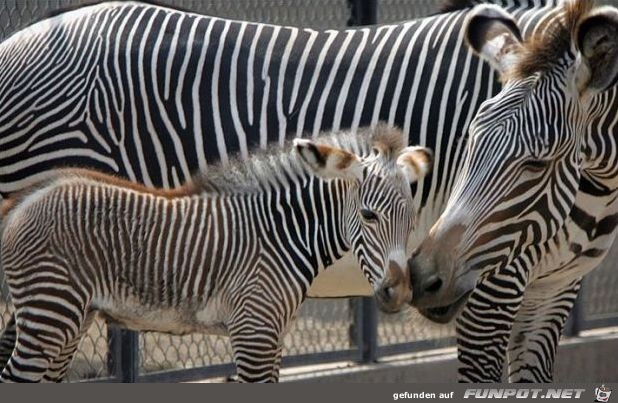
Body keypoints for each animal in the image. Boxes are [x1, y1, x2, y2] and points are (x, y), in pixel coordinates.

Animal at [0, 125, 428, 382]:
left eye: (411, 220)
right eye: (369, 215)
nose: (399, 293)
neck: (280, 233)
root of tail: (27, 199)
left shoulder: (272, 337)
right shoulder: (255, 333)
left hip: (70, 318)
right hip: (50, 313)